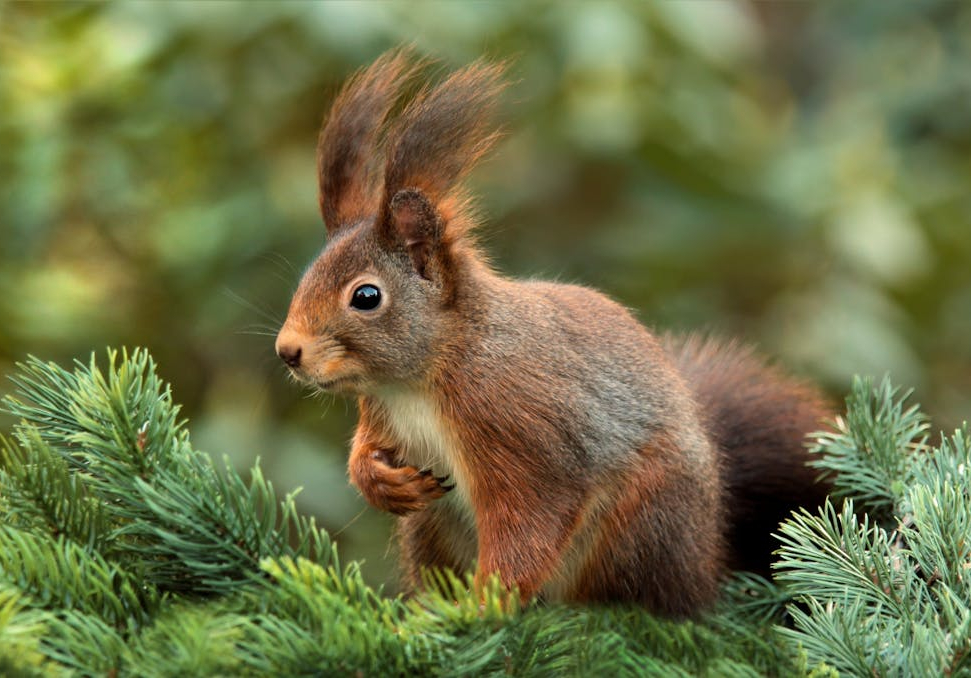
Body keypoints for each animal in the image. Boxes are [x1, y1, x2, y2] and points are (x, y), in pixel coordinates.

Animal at [275, 50, 831, 618]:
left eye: (366, 296)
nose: (287, 351)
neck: (421, 378)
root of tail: (706, 559)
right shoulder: (381, 412)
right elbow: (365, 451)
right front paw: (380, 481)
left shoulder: (521, 429)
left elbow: (529, 522)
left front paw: (484, 608)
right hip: (431, 528)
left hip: (642, 521)